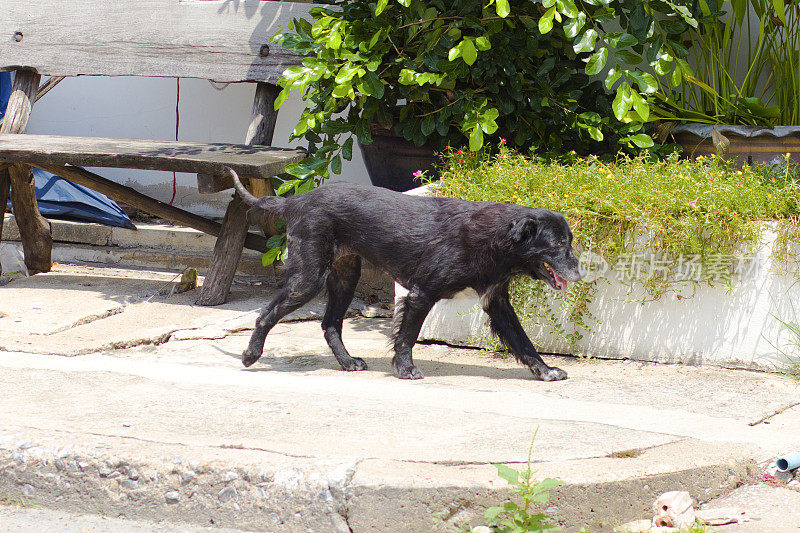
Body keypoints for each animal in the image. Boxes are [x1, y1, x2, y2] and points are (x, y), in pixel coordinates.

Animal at [228, 168, 584, 380]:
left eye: (570, 242)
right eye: (559, 244)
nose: (582, 271)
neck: (497, 240)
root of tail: (294, 202)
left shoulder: (496, 302)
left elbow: (524, 342)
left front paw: (546, 370)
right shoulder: (422, 293)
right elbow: (407, 336)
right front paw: (404, 368)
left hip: (345, 276)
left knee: (329, 324)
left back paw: (347, 362)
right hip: (309, 277)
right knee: (265, 314)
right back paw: (251, 355)